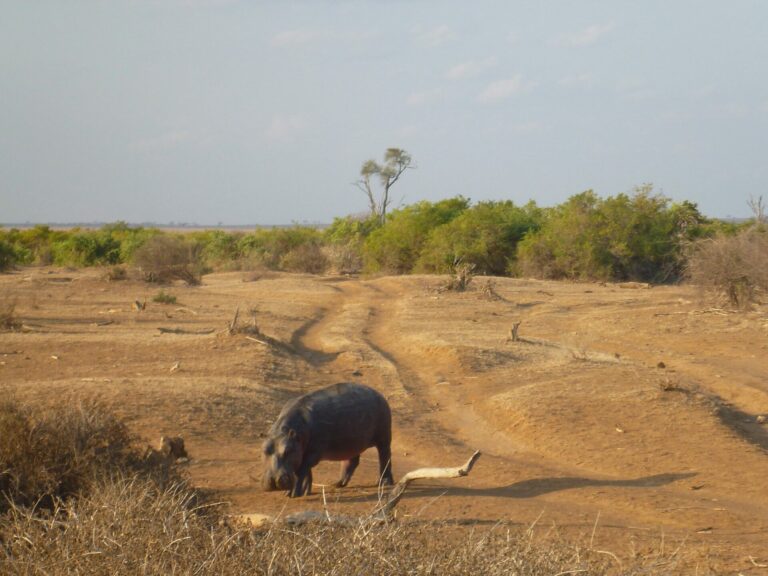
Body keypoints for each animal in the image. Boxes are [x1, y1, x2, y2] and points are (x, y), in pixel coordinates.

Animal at [264, 382, 396, 496]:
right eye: (264, 450)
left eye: (287, 450)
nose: (273, 481)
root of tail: (378, 393)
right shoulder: (305, 451)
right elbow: (306, 472)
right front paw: (305, 491)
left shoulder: (313, 452)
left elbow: (300, 471)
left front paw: (293, 494)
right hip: (352, 443)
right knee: (352, 461)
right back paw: (338, 483)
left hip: (383, 437)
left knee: (385, 456)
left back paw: (385, 483)